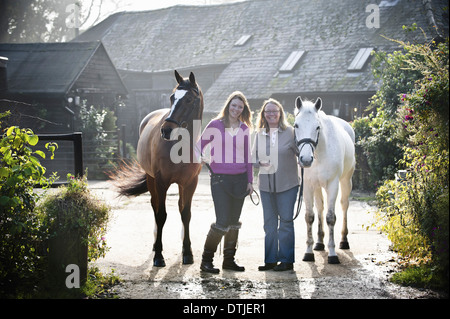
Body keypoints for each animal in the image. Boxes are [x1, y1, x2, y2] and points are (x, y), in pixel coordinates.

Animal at [111, 70, 203, 268]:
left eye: (189, 99)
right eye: (172, 97)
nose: (166, 130)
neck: (179, 146)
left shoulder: (190, 183)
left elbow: (186, 214)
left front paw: (187, 252)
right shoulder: (161, 182)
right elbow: (161, 215)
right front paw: (159, 256)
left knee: (179, 207)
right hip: (151, 178)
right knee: (154, 207)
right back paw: (155, 246)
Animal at [294, 97, 356, 264]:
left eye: (317, 127)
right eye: (296, 125)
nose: (306, 160)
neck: (319, 153)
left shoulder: (333, 184)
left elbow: (330, 218)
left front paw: (333, 254)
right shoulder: (308, 186)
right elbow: (310, 216)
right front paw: (309, 252)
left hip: (346, 180)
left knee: (344, 205)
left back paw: (343, 241)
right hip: (317, 186)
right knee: (320, 207)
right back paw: (319, 243)